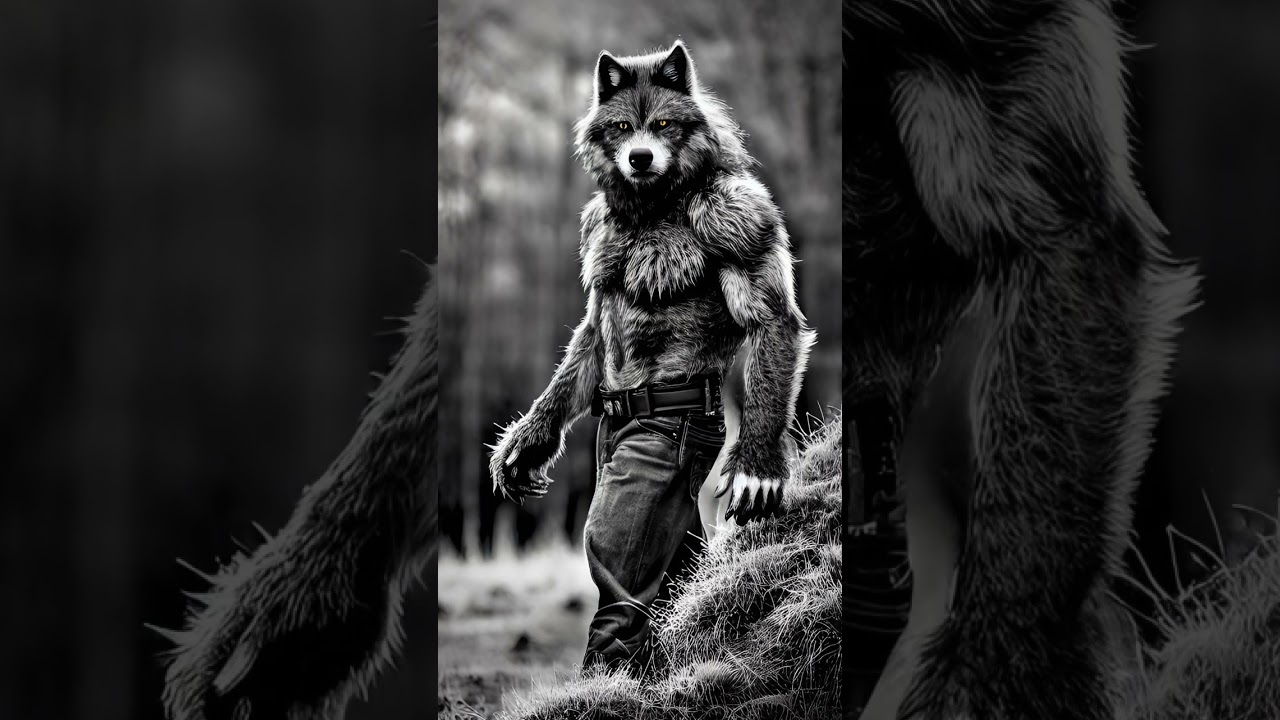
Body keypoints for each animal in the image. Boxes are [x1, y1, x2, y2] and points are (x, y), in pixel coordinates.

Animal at [490, 40, 816, 672]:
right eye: (621, 127)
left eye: (664, 124)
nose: (639, 157)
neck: (651, 208)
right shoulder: (596, 234)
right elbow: (594, 330)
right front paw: (528, 442)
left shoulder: (738, 215)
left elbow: (770, 318)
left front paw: (758, 467)